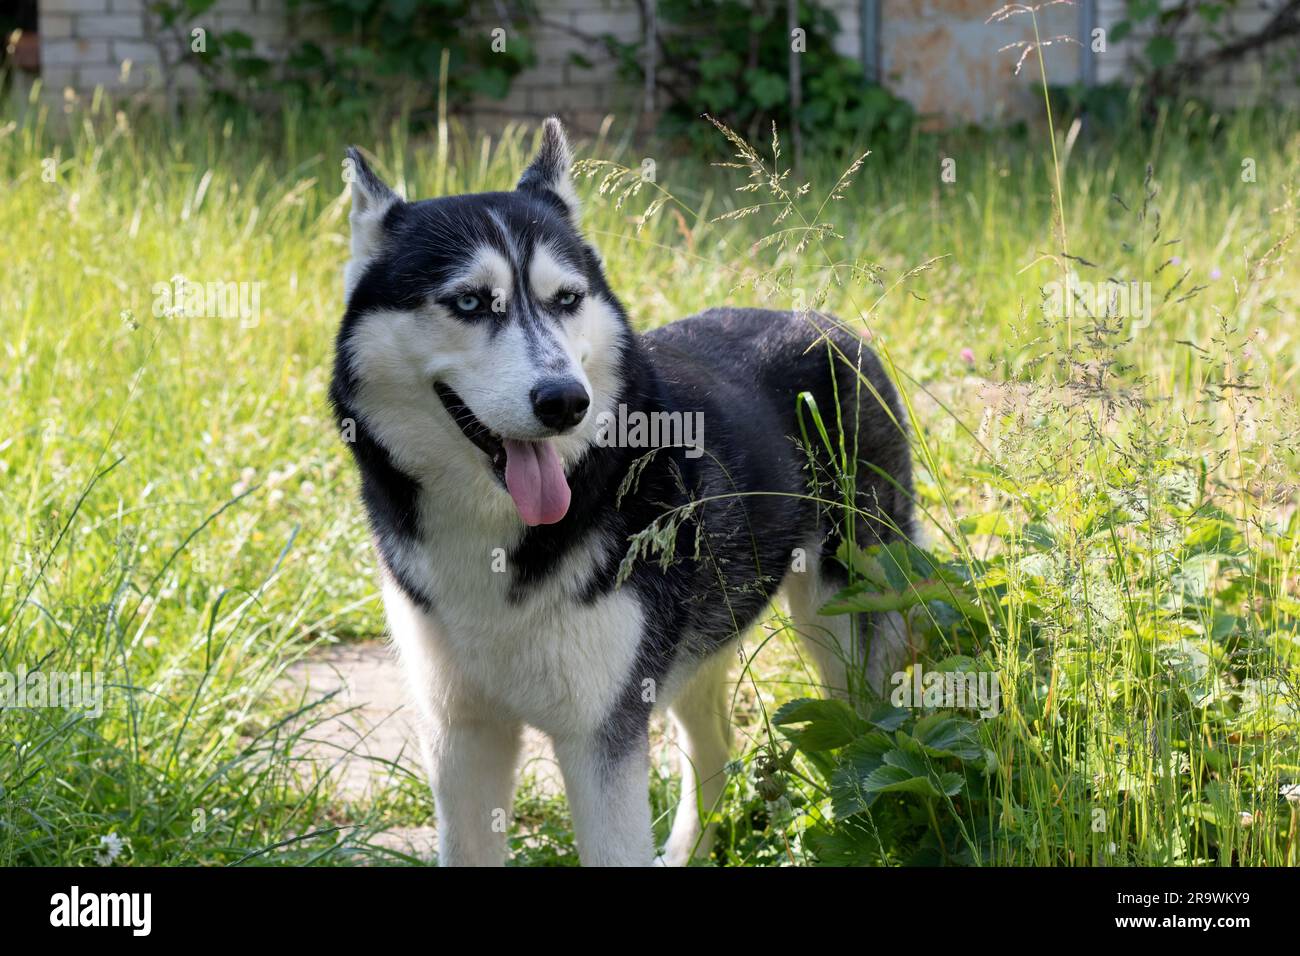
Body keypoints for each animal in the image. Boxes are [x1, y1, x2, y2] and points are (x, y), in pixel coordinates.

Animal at [327, 119, 915, 868]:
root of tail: (823, 319)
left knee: (868, 728)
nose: (564, 402)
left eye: (566, 299)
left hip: (843, 625)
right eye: (469, 302)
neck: (500, 539)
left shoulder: (600, 737)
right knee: (717, 749)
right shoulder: (461, 732)